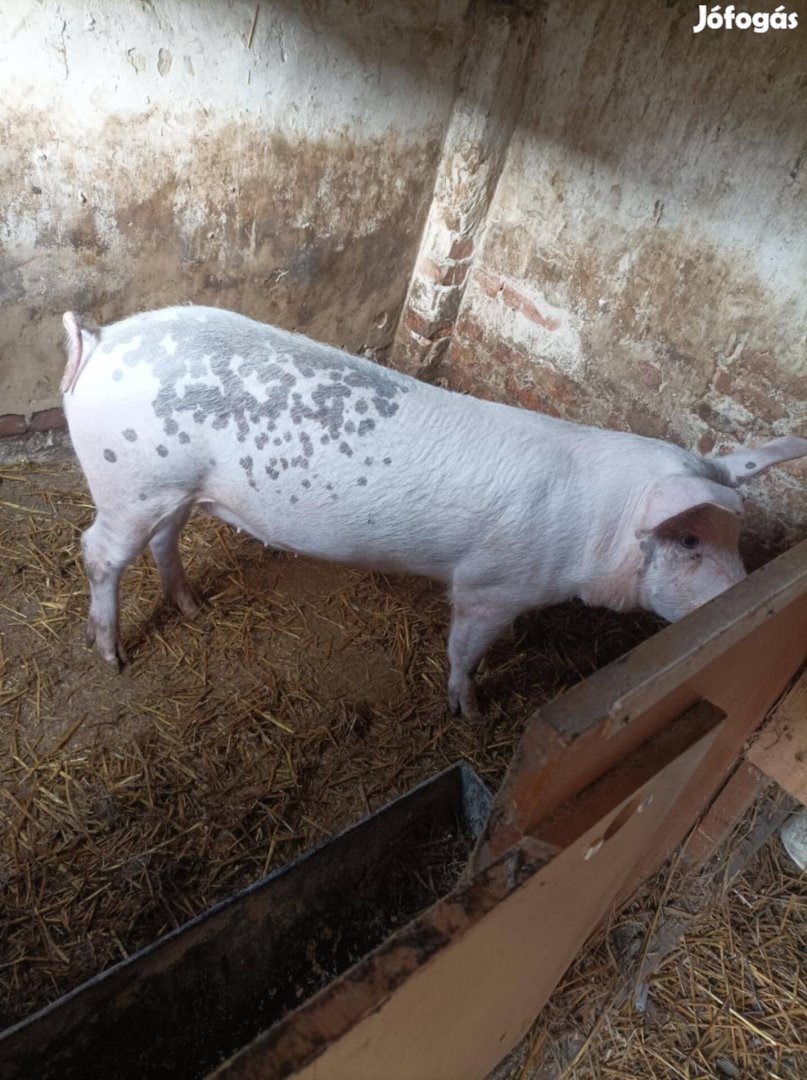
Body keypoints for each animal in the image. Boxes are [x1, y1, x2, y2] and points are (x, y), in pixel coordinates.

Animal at [61, 306, 807, 717]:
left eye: (733, 535)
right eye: (688, 541)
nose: (740, 599)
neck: (598, 528)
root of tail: (100, 339)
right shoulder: (489, 586)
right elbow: (463, 650)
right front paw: (469, 713)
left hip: (174, 487)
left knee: (165, 541)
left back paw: (194, 609)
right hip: (130, 482)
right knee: (96, 551)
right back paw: (112, 656)